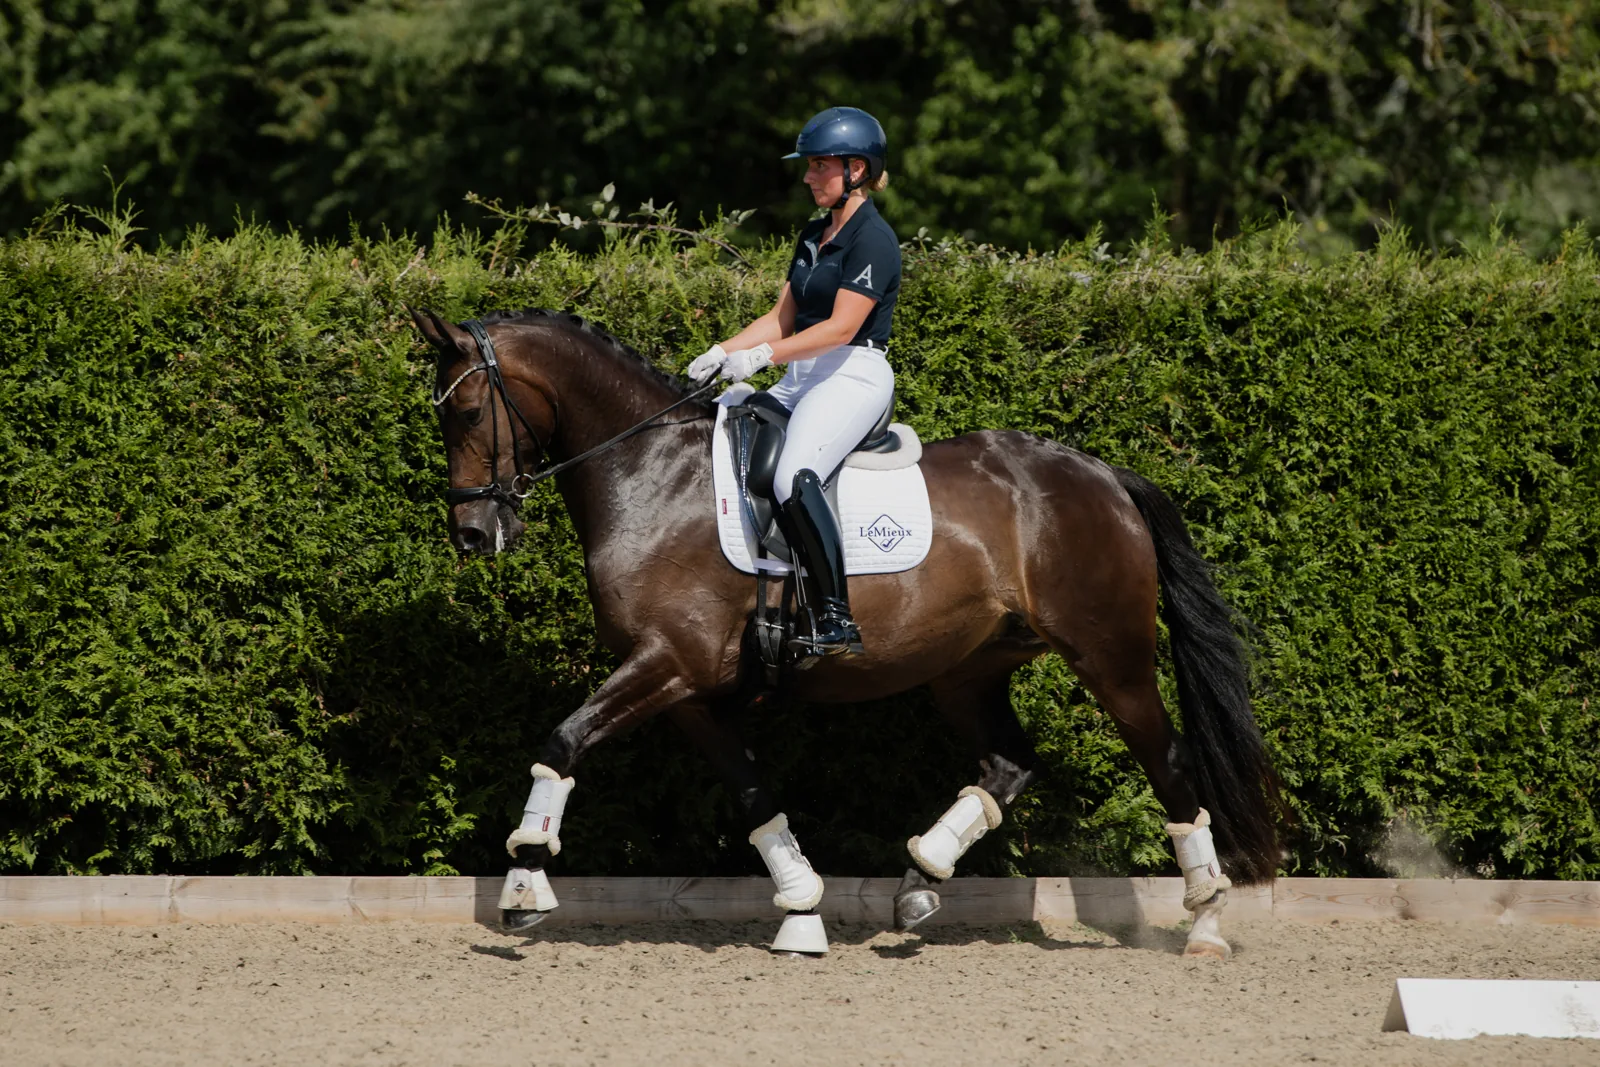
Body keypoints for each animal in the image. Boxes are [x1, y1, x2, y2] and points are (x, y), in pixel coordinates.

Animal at [410, 306, 1279, 958]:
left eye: (466, 410)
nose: (474, 533)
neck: (651, 470)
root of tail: (1103, 475)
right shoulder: (686, 686)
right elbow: (753, 792)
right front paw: (801, 908)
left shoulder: (667, 662)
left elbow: (562, 740)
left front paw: (525, 878)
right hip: (967, 668)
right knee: (1008, 763)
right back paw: (921, 879)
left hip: (1111, 657)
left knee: (1168, 762)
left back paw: (1205, 917)